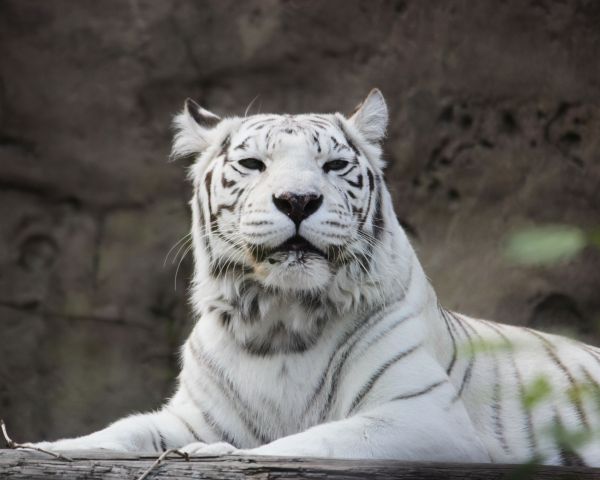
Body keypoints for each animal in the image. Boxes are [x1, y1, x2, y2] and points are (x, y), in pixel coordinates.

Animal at [30, 90, 600, 464]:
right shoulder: (191, 413)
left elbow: (301, 441)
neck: (279, 319)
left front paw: (214, 454)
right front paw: (41, 446)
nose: (298, 200)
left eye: (334, 165)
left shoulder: (423, 416)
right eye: (253, 164)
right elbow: (121, 430)